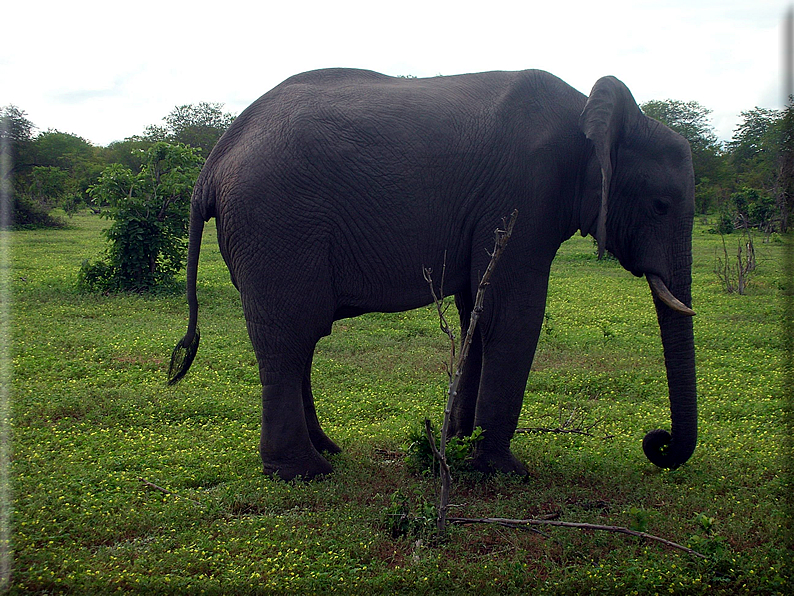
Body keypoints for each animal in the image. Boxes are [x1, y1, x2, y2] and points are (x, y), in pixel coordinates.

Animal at [167, 67, 692, 482]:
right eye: (661, 205)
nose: (658, 442)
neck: (591, 114)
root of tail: (212, 163)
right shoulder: (524, 196)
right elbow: (512, 315)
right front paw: (504, 472)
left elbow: (476, 313)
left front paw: (456, 450)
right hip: (277, 225)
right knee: (289, 336)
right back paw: (305, 473)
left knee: (300, 339)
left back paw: (326, 451)